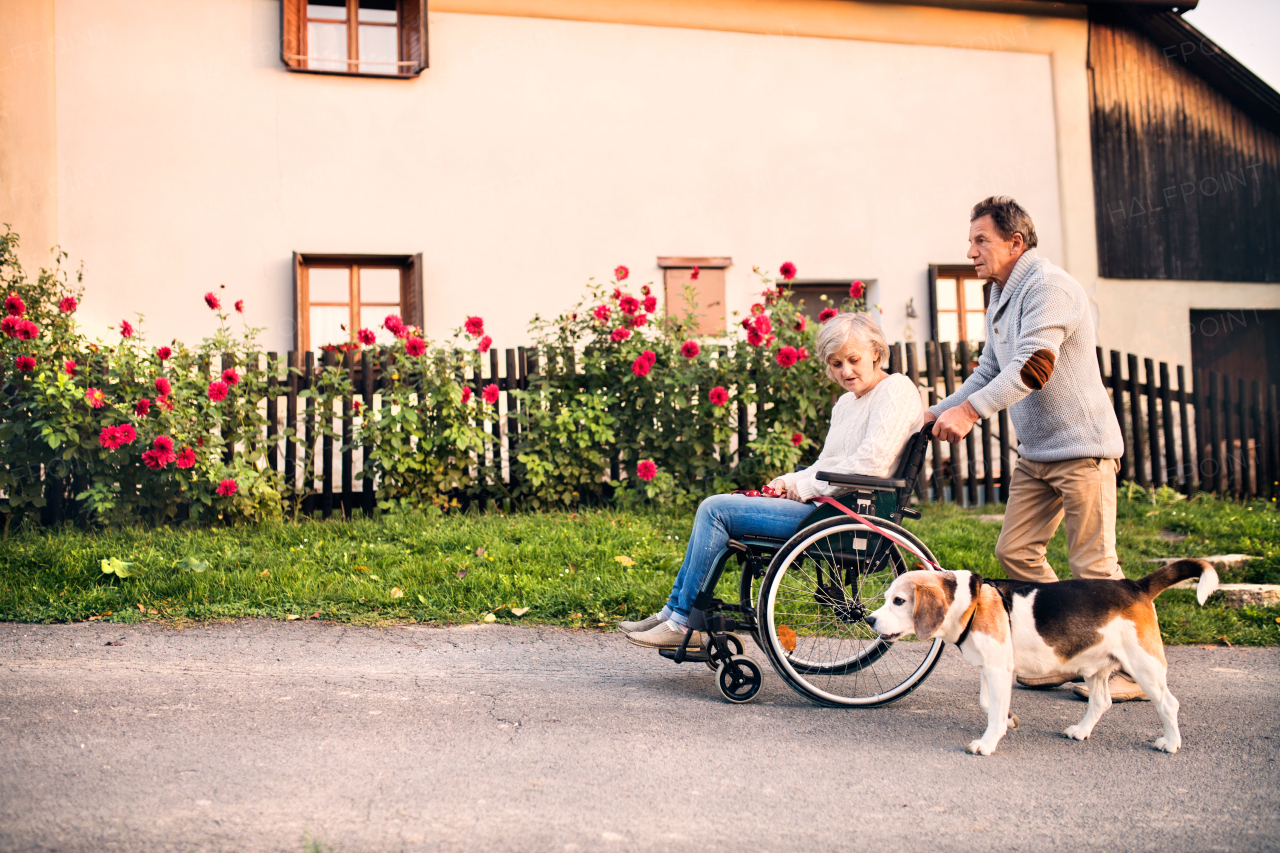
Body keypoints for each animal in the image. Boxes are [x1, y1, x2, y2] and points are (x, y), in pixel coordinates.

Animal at [865, 560, 1213, 753]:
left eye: (899, 601)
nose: (869, 620)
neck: (971, 601)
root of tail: (1135, 585)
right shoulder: (990, 668)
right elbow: (989, 704)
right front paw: (1007, 720)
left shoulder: (998, 669)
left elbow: (992, 712)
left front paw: (988, 743)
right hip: (1096, 666)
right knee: (1101, 702)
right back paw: (1081, 731)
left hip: (1144, 665)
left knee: (1168, 704)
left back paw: (1171, 743)